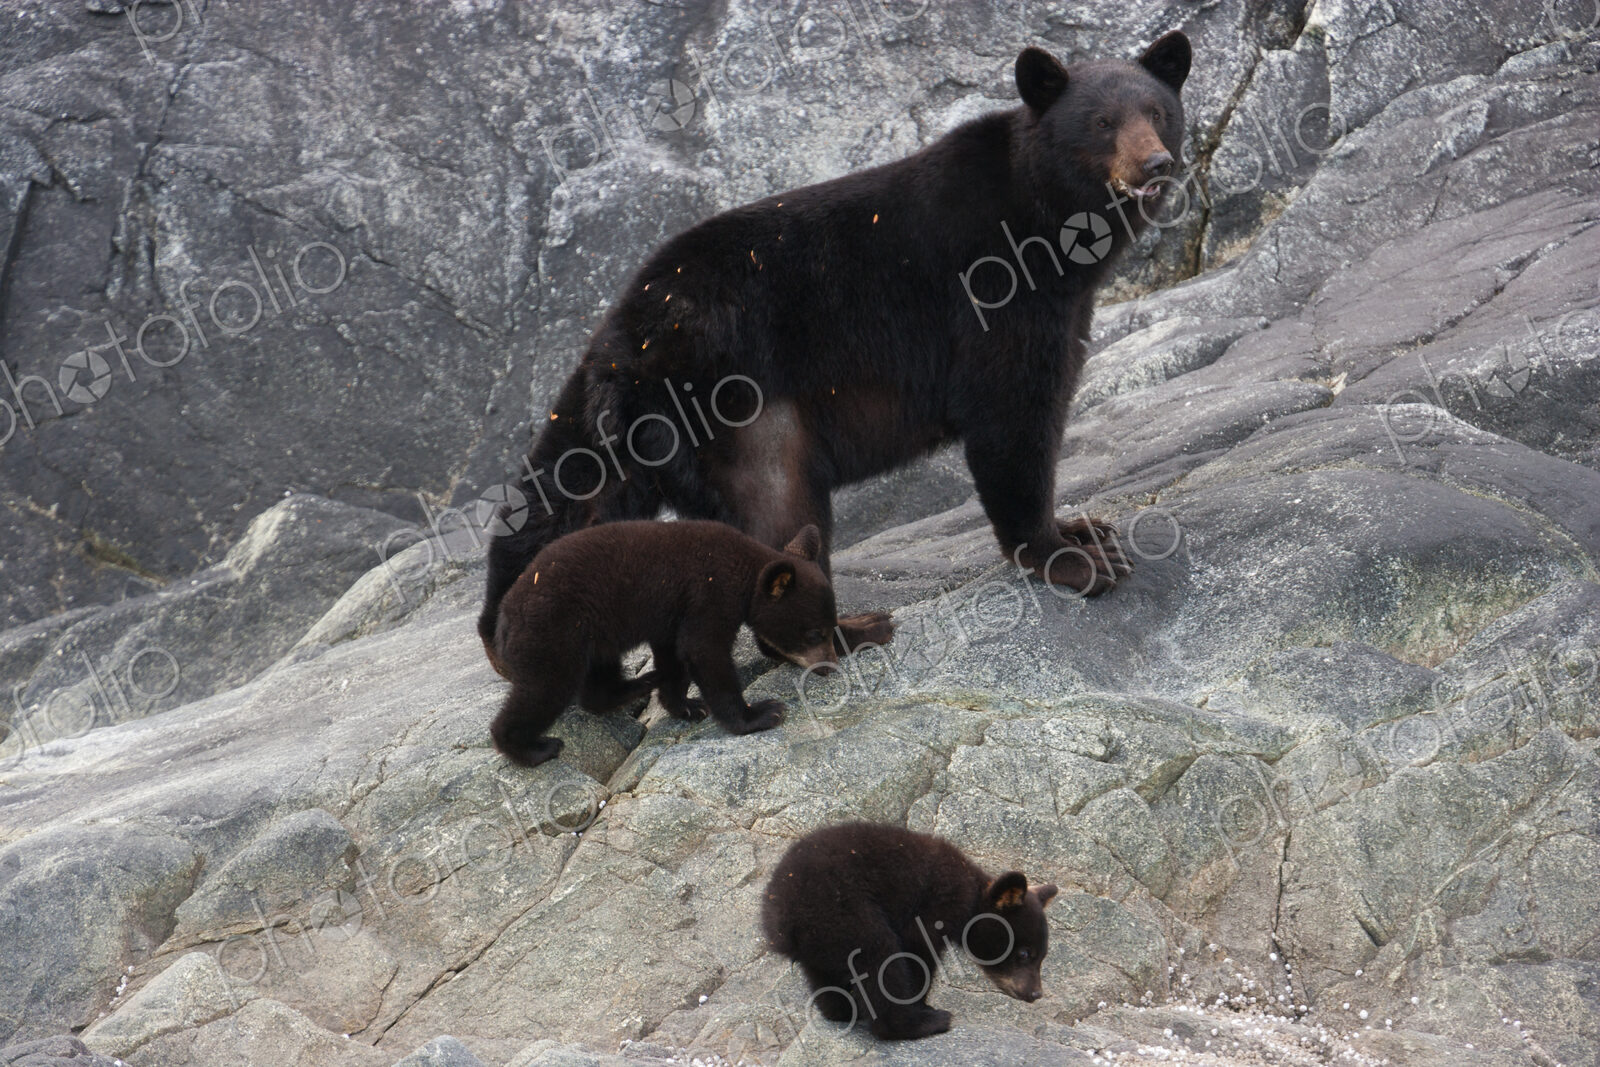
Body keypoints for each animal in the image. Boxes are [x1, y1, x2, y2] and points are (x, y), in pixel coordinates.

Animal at [478, 33, 1192, 676]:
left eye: (1158, 112)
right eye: (1102, 123)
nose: (1156, 165)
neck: (1045, 218)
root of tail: (617, 344)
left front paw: (1084, 530)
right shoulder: (994, 292)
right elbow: (1012, 419)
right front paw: (1071, 560)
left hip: (633, 427)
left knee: (573, 490)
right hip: (743, 411)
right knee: (780, 508)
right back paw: (850, 630)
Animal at [490, 520, 837, 768]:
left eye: (833, 627)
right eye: (814, 634)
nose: (830, 666)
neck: (743, 569)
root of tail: (503, 618)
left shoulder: (674, 611)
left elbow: (675, 655)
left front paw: (687, 704)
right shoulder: (708, 594)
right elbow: (705, 650)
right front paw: (761, 713)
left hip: (592, 632)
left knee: (596, 678)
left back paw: (637, 685)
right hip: (553, 630)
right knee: (546, 686)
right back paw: (532, 748)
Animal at [762, 821, 1059, 1040]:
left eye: (1043, 956)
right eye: (1024, 953)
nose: (1036, 994)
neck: (972, 895)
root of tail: (781, 918)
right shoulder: (934, 906)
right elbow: (917, 952)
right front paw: (922, 1004)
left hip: (820, 937)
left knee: (823, 975)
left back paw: (843, 1010)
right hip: (844, 913)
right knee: (878, 958)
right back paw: (923, 1023)